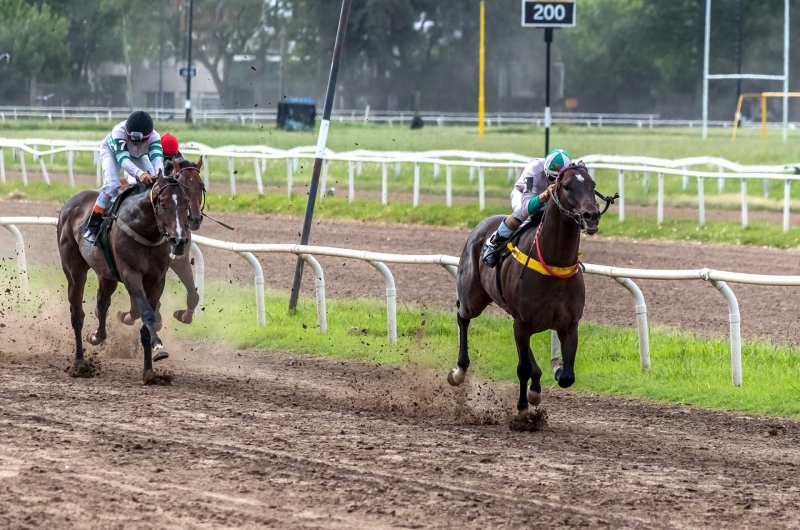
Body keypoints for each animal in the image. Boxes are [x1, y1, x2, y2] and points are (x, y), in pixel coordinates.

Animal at [57, 171, 192, 382]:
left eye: (186, 203)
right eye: (163, 204)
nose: (179, 241)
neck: (145, 229)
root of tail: (71, 202)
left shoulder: (156, 281)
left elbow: (147, 321)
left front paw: (149, 372)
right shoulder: (131, 275)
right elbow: (147, 313)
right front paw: (159, 347)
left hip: (107, 275)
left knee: (102, 304)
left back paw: (96, 336)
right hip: (74, 270)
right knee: (77, 313)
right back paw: (79, 364)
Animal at [119, 159, 208, 326]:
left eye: (201, 185)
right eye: (184, 186)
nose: (195, 218)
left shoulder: (180, 259)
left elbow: (194, 294)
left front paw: (184, 315)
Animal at [450, 161, 600, 412]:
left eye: (592, 184)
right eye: (567, 186)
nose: (592, 215)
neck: (554, 264)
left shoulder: (569, 324)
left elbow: (567, 377)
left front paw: (551, 374)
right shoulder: (523, 321)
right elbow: (522, 368)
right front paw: (522, 407)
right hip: (474, 298)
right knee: (462, 314)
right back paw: (459, 371)